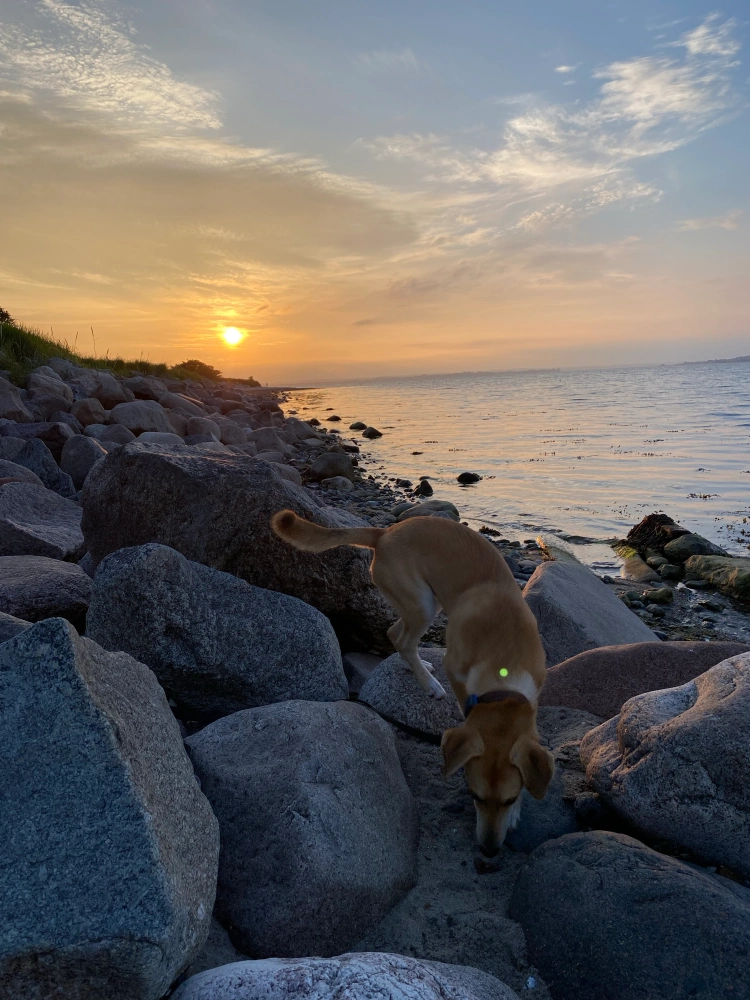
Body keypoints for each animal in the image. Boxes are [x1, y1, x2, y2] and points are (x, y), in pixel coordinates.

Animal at [271, 509, 554, 857]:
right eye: (474, 796)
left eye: (510, 799)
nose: (489, 851)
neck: (505, 663)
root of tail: (385, 533)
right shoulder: (457, 672)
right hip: (422, 602)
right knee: (401, 638)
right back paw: (429, 683)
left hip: (425, 603)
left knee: (395, 634)